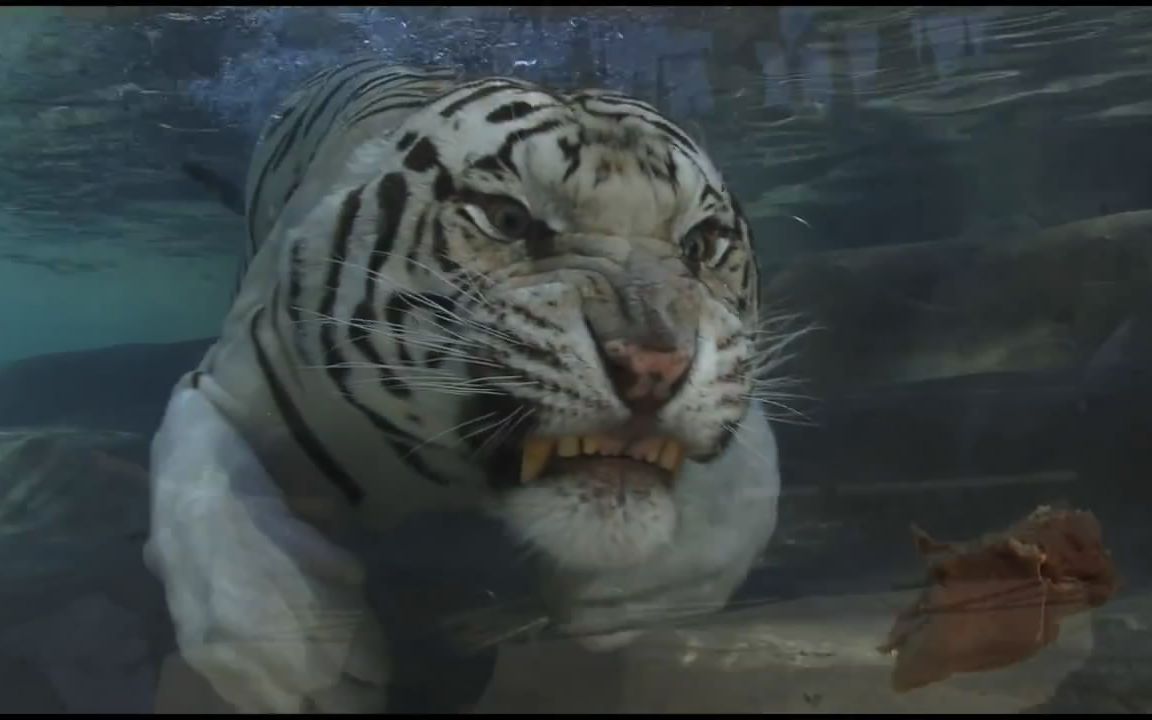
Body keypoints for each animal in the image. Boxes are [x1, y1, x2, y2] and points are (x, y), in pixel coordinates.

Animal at [145, 57, 783, 713]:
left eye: (702, 245)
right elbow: (212, 523)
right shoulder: (230, 381)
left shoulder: (736, 386)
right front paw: (315, 663)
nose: (655, 366)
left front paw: (621, 598)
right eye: (507, 220)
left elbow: (744, 496)